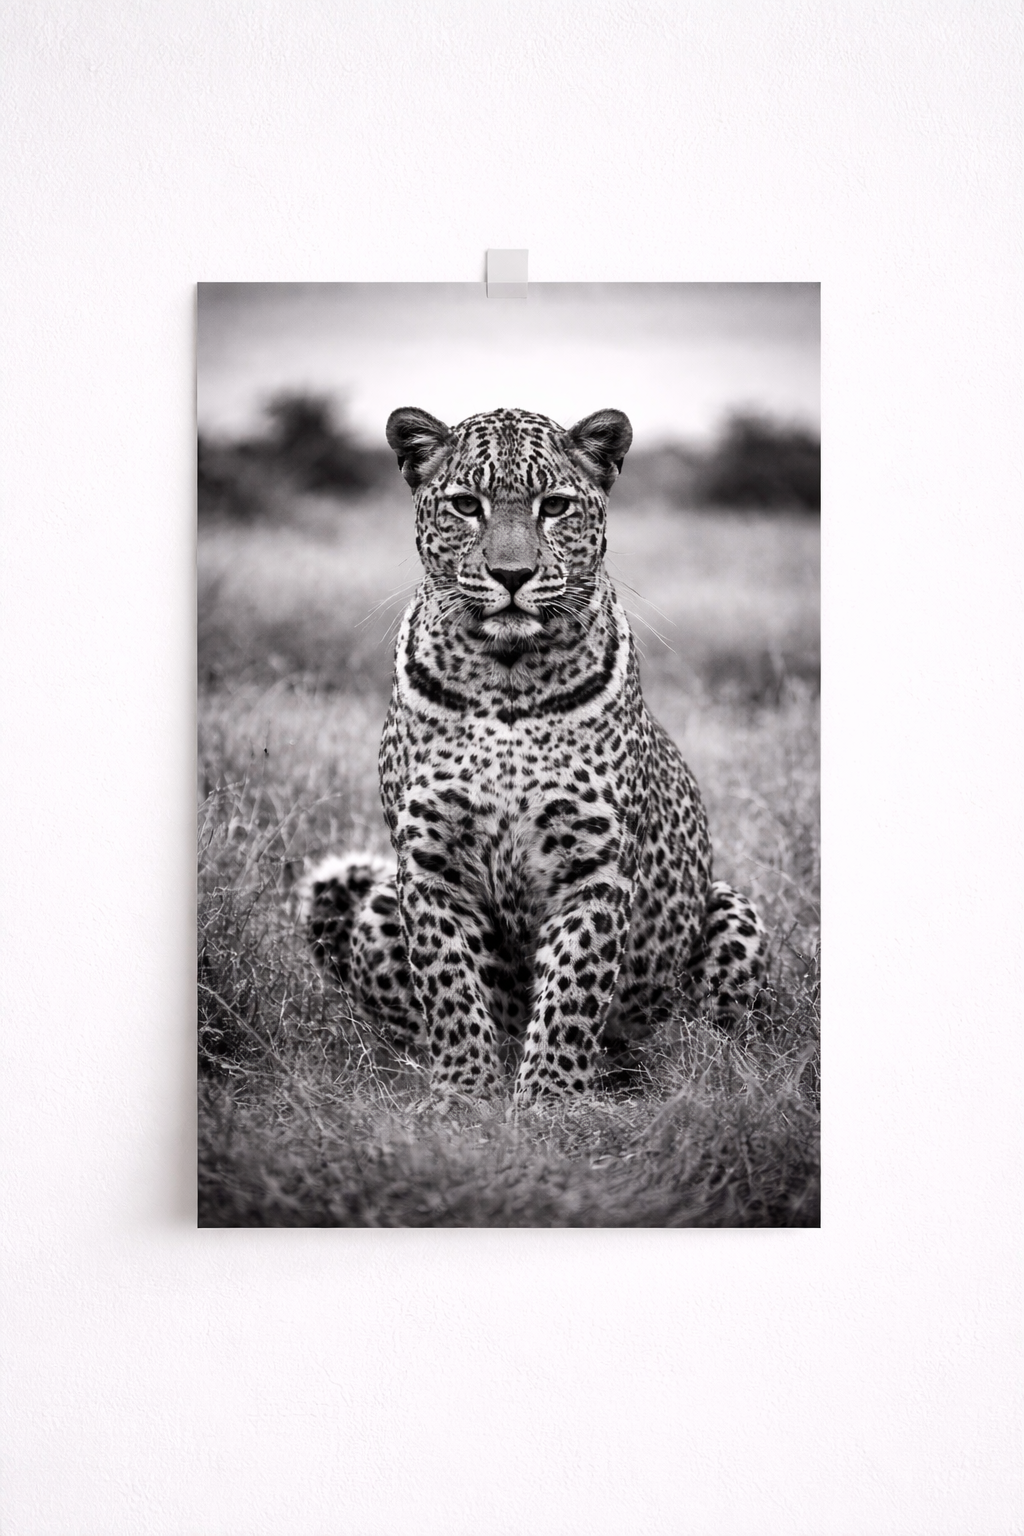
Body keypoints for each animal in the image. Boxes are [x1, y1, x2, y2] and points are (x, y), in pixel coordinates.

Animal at [300, 405, 768, 1102]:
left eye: (555, 506)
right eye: (467, 505)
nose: (513, 576)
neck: (508, 678)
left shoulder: (595, 867)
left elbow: (574, 988)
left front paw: (550, 1097)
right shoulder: (429, 865)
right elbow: (449, 984)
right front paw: (463, 1092)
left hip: (732, 912)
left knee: (709, 1035)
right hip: (382, 896)